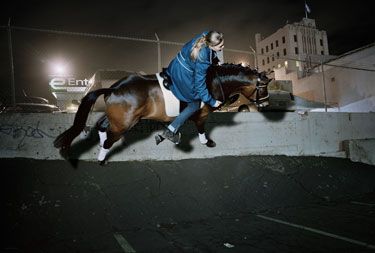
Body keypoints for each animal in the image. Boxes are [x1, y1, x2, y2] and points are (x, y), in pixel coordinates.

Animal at [53, 63, 270, 162]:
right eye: (262, 88)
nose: (266, 104)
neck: (211, 81)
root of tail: (114, 88)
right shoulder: (200, 112)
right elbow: (200, 127)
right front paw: (206, 142)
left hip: (117, 117)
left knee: (101, 126)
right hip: (125, 122)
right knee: (109, 138)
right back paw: (101, 157)